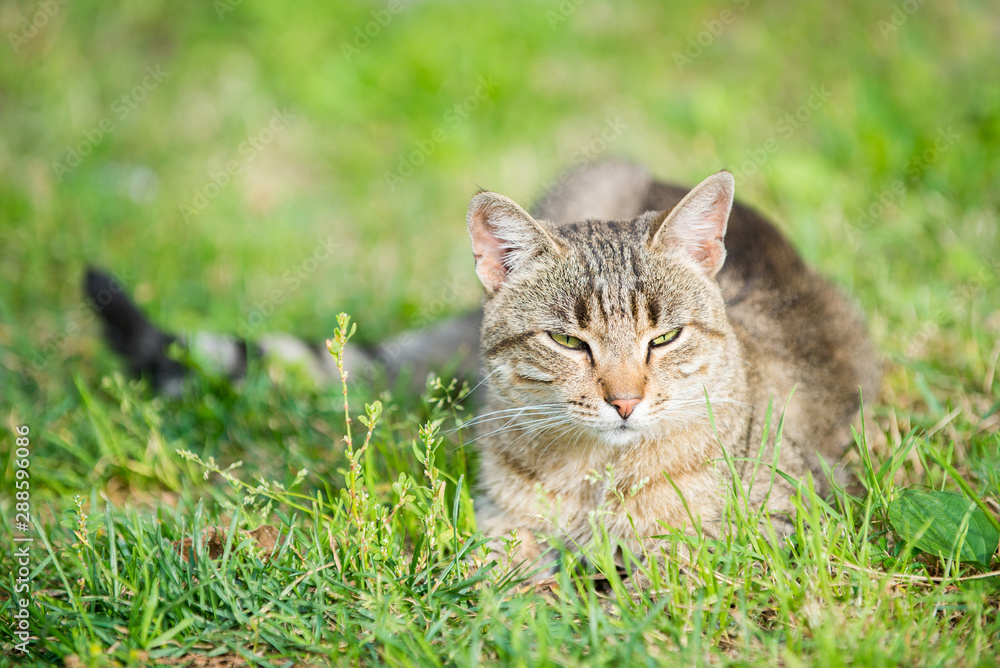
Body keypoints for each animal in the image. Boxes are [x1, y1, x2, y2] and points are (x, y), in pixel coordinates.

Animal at [88, 160, 884, 580]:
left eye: (664, 338)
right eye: (567, 341)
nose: (625, 401)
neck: (596, 477)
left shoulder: (772, 525)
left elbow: (648, 573)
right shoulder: (499, 522)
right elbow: (500, 569)